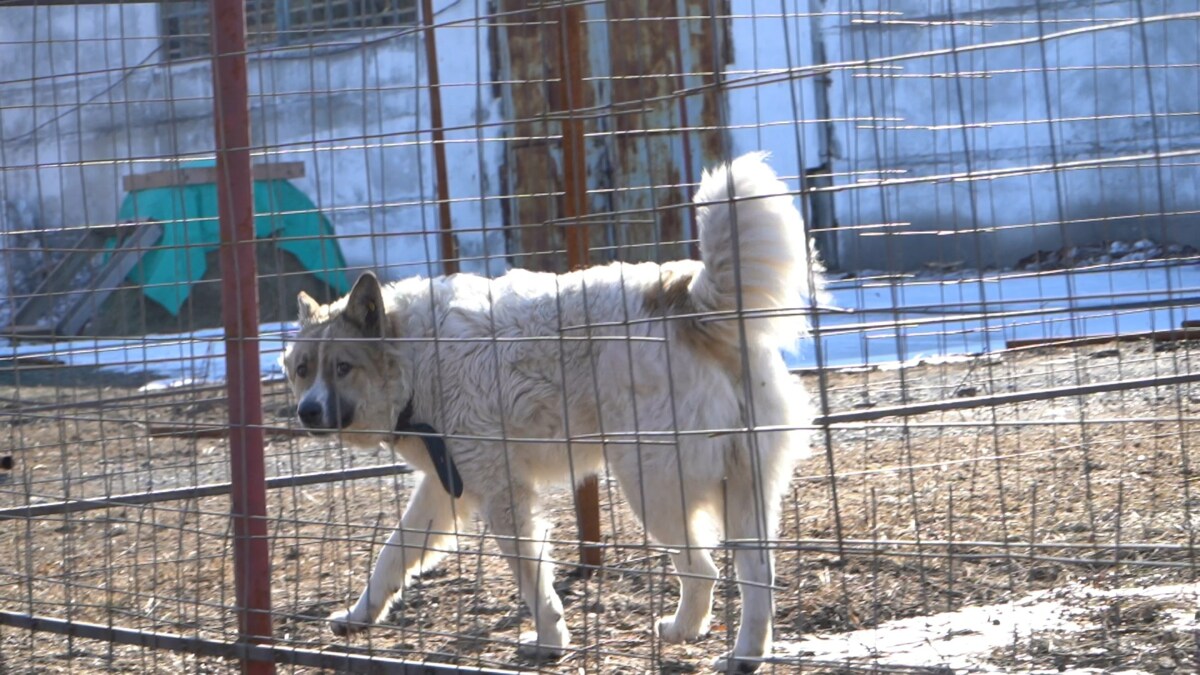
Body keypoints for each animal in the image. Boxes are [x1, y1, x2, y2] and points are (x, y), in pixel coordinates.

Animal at [282, 151, 825, 667]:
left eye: (343, 367)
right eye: (302, 369)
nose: (307, 412)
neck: (413, 356)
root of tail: (685, 301)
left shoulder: (502, 494)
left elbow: (530, 576)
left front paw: (549, 639)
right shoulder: (445, 487)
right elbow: (393, 555)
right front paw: (359, 616)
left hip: (654, 489)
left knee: (703, 569)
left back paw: (688, 632)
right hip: (740, 490)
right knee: (757, 576)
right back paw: (742, 654)